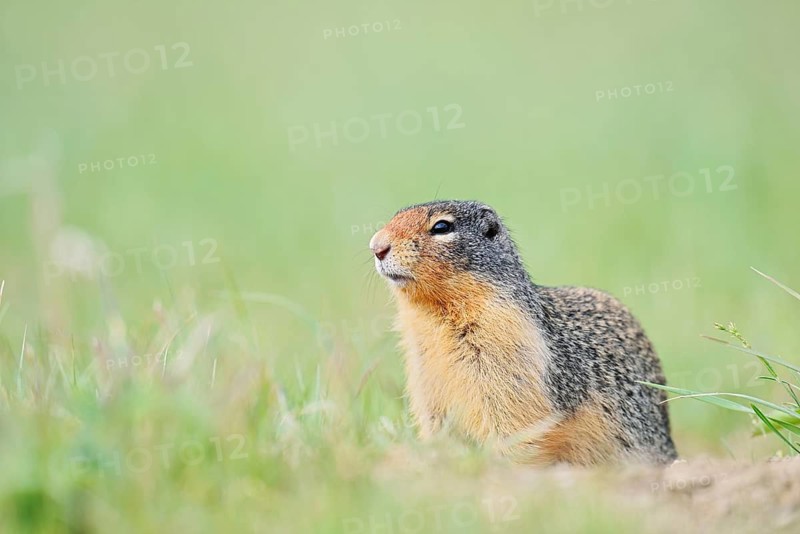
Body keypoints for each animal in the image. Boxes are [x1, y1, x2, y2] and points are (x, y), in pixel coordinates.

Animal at [369, 200, 677, 465]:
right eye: (396, 215)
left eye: (442, 227)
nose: (376, 246)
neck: (436, 315)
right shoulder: (425, 381)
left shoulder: (507, 366)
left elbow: (513, 430)